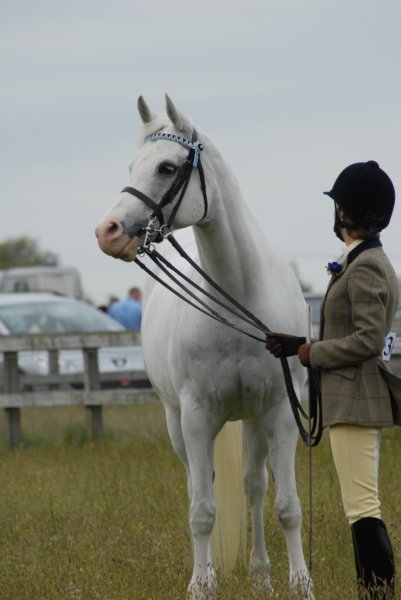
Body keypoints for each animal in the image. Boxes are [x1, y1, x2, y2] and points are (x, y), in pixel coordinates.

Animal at [96, 96, 312, 596]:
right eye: (132, 166)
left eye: (166, 167)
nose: (108, 230)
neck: (239, 297)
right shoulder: (195, 418)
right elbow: (202, 509)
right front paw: (201, 584)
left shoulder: (280, 412)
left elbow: (287, 506)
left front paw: (299, 583)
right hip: (178, 423)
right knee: (202, 485)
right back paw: (213, 570)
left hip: (252, 421)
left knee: (254, 487)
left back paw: (261, 576)